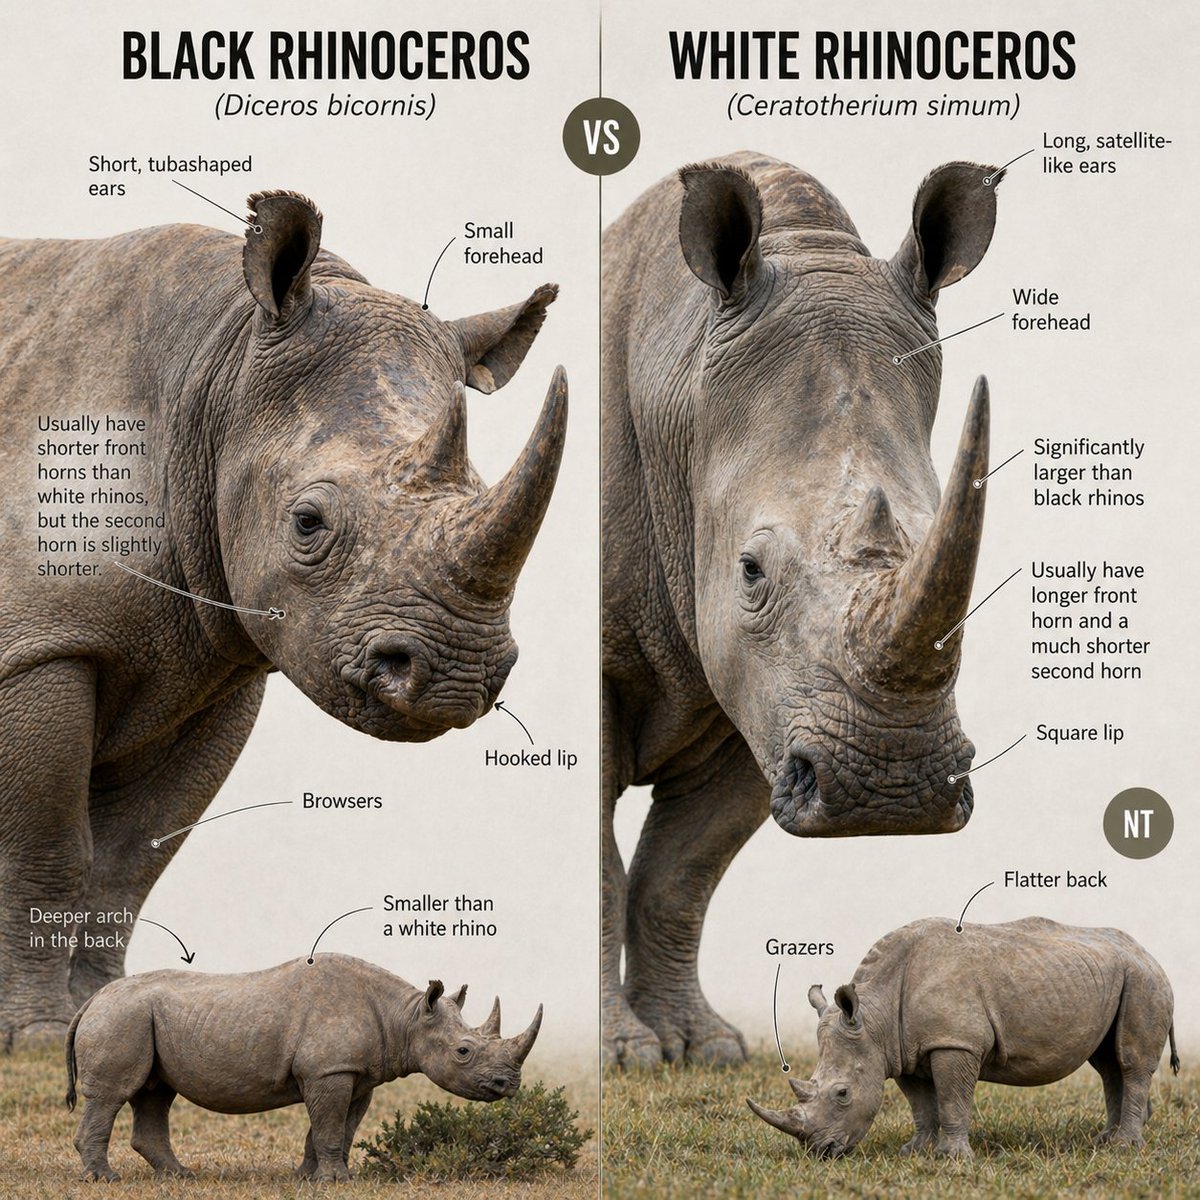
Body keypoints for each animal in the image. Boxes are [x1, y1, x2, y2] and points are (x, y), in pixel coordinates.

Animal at [0, 192, 566, 1047]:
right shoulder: (41, 644)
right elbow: (48, 849)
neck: (217, 369)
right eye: (307, 523)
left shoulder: (216, 659)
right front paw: (35, 1037)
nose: (458, 677)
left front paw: (96, 1013)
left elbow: (130, 861)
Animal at [65, 954, 542, 1181]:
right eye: (464, 1052)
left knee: (155, 1093)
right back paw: (105, 1179)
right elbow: (329, 1125)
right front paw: (335, 1182)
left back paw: (181, 1176)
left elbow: (337, 1128)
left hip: (140, 1017)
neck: (404, 1016)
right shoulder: (329, 1070)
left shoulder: (354, 1073)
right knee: (115, 1095)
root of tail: (93, 999)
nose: (509, 1084)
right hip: (122, 1016)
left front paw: (313, 1177)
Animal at [602, 152, 999, 1065]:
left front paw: (703, 1049)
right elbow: (603, 867)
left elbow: (684, 869)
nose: (891, 791)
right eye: (749, 571)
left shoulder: (765, 702)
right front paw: (627, 1056)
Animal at [748, 917, 1179, 1158]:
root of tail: (1150, 954)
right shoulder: (899, 1050)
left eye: (842, 1094)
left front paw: (953, 1159)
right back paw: (1103, 1141)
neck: (875, 1016)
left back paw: (1123, 1148)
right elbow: (922, 1105)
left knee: (1129, 1062)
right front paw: (914, 1152)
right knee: (1108, 1063)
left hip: (1144, 981)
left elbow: (953, 1099)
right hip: (1116, 977)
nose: (819, 1152)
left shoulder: (954, 1041)